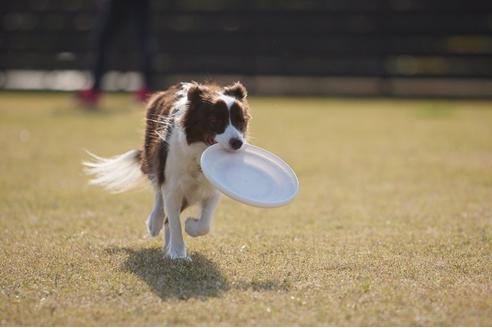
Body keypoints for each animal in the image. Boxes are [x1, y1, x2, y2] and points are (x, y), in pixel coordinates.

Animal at [83, 81, 250, 258]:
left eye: (241, 121)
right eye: (214, 120)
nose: (237, 143)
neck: (197, 156)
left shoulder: (211, 188)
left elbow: (204, 224)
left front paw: (190, 227)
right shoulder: (173, 185)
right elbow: (174, 220)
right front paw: (178, 253)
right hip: (155, 159)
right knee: (159, 196)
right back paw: (154, 222)